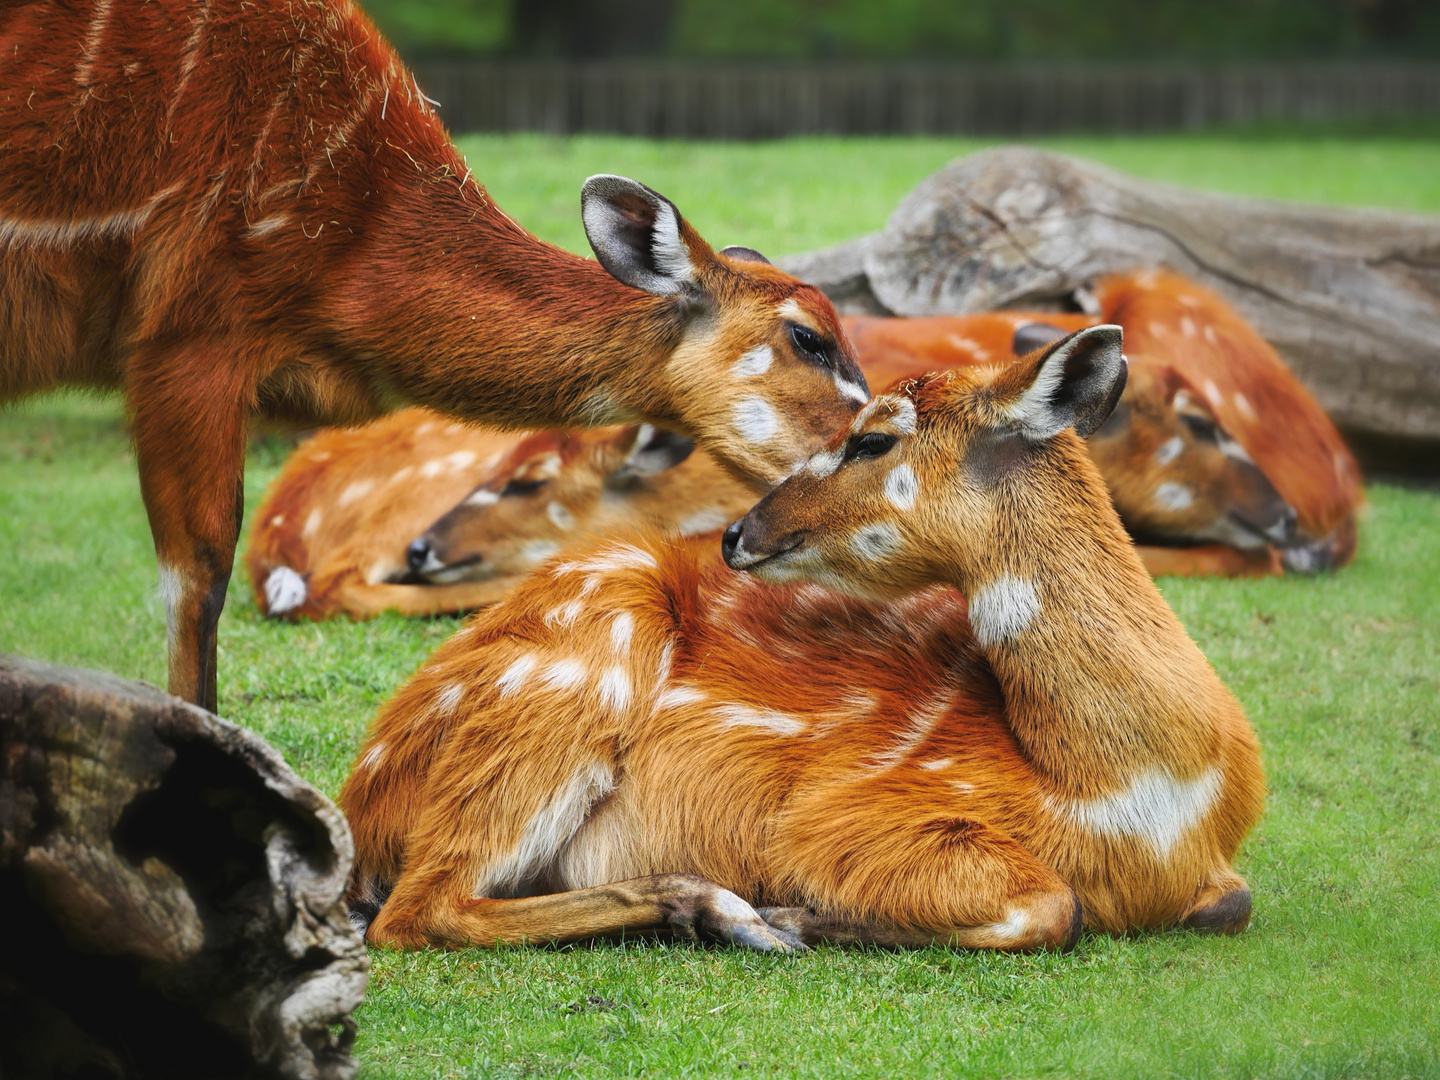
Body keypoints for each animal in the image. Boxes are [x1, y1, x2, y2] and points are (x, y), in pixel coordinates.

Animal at [336, 324, 1261, 956]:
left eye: (873, 437)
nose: (738, 532)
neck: (1122, 791)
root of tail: (362, 801)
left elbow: (1231, 902)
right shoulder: (844, 818)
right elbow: (1051, 905)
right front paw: (797, 912)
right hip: (568, 673)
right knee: (419, 908)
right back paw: (728, 912)